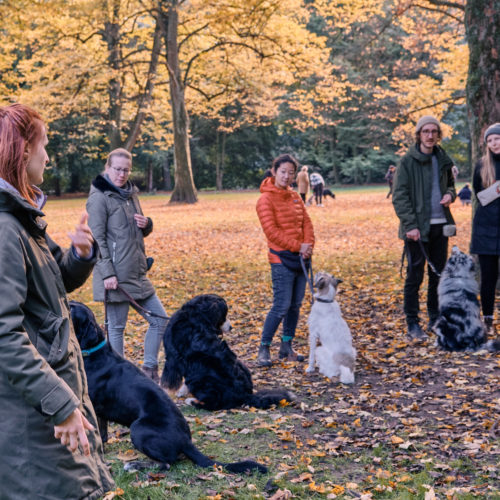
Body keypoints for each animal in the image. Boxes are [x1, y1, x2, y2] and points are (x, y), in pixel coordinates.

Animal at [69, 300, 270, 472]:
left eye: (71, 308)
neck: (93, 352)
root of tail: (186, 441)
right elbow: (102, 434)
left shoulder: (93, 406)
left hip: (138, 427)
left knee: (166, 463)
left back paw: (134, 465)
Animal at [161, 292, 292, 410]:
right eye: (223, 316)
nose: (231, 327)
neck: (195, 316)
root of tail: (245, 395)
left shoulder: (173, 358)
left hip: (201, 378)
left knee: (213, 404)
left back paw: (191, 401)